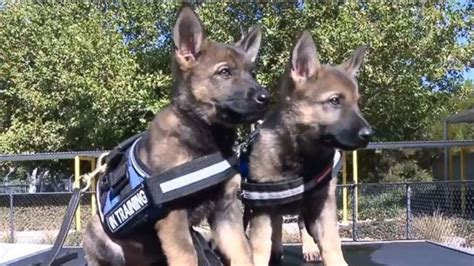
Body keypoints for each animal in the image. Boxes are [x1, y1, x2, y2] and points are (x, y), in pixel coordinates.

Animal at [83, 4, 268, 266]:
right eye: (224, 72)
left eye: (252, 73)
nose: (266, 97)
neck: (205, 136)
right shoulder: (174, 219)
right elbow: (187, 257)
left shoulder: (226, 212)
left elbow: (242, 253)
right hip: (96, 233)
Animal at [246, 31, 372, 266]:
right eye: (334, 101)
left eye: (357, 102)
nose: (369, 135)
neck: (301, 156)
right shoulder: (263, 209)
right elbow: (259, 245)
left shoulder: (323, 205)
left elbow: (331, 241)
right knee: (277, 228)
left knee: (302, 225)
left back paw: (310, 249)